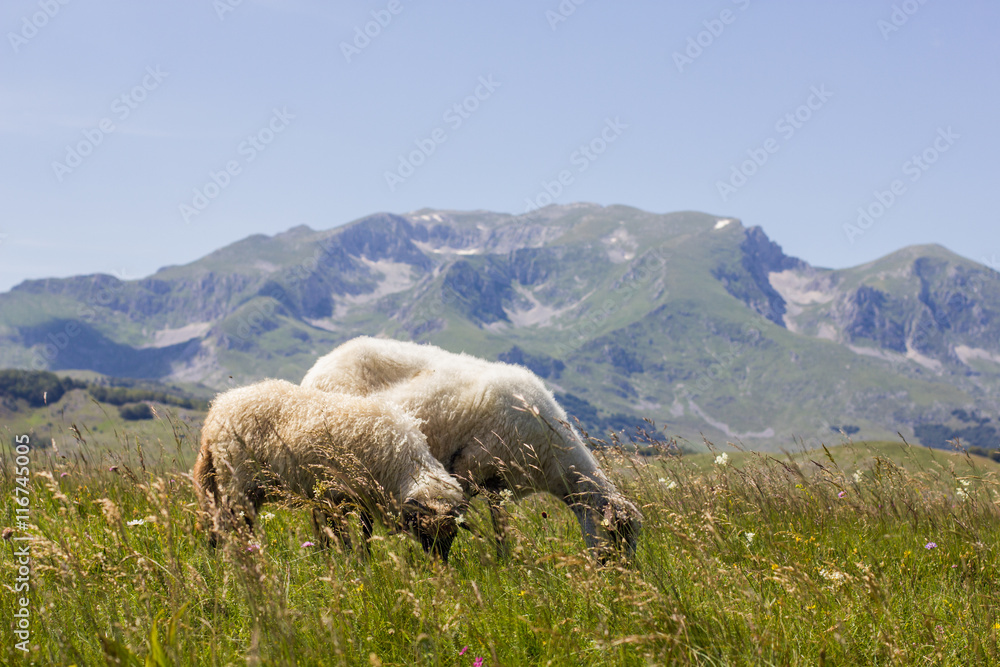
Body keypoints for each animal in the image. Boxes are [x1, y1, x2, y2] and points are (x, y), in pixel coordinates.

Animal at [192, 379, 466, 561]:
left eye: (452, 537)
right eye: (426, 534)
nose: (440, 566)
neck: (400, 461)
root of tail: (217, 410)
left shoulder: (361, 497)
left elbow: (364, 533)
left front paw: (360, 559)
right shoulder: (335, 495)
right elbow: (339, 534)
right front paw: (348, 560)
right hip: (238, 481)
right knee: (228, 521)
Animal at [301, 337, 642, 561]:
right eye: (619, 534)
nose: (622, 576)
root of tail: (317, 367)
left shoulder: (497, 483)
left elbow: (499, 525)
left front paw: (504, 562)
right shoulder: (469, 468)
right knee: (328, 513)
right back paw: (337, 555)